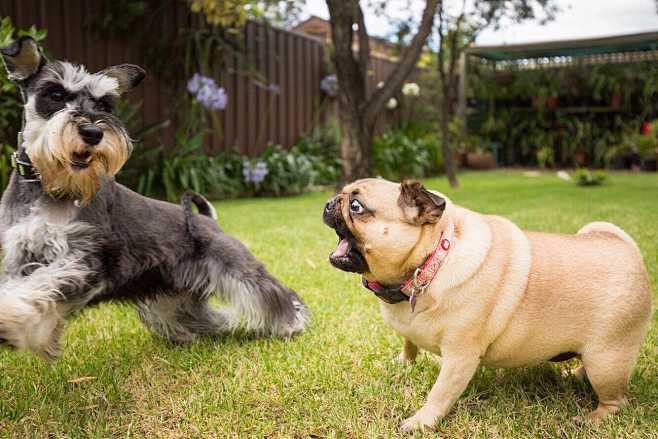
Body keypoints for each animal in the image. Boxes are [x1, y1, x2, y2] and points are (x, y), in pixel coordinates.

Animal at [0, 37, 308, 360]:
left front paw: (9, 317)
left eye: (104, 104)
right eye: (55, 94)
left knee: (270, 293)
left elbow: (43, 284)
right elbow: (33, 289)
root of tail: (208, 219)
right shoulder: (21, 255)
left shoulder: (85, 259)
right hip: (169, 291)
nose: (93, 132)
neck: (44, 187)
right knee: (198, 317)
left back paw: (292, 322)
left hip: (237, 267)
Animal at [322, 179, 652, 434]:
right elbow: (409, 343)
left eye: (356, 207)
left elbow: (440, 394)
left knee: (615, 401)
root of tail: (628, 250)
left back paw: (592, 418)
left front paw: (421, 422)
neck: (430, 263)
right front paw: (403, 363)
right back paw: (572, 375)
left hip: (606, 360)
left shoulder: (460, 358)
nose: (329, 202)